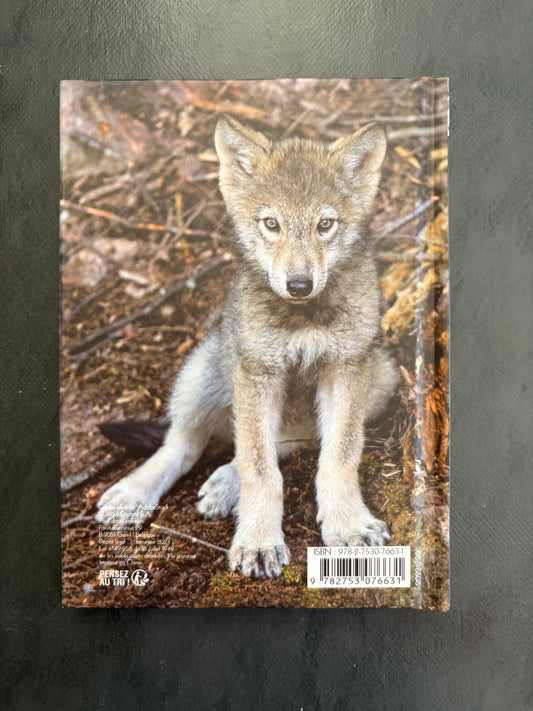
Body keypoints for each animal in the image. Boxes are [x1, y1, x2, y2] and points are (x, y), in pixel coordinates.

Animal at [95, 115, 397, 577]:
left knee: (285, 440)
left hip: (381, 377)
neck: (303, 316)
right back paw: (133, 494)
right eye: (271, 224)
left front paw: (348, 526)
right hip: (207, 370)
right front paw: (258, 542)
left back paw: (224, 483)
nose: (298, 284)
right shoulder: (258, 371)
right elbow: (260, 470)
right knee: (183, 445)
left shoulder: (347, 368)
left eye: (325, 225)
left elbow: (339, 457)